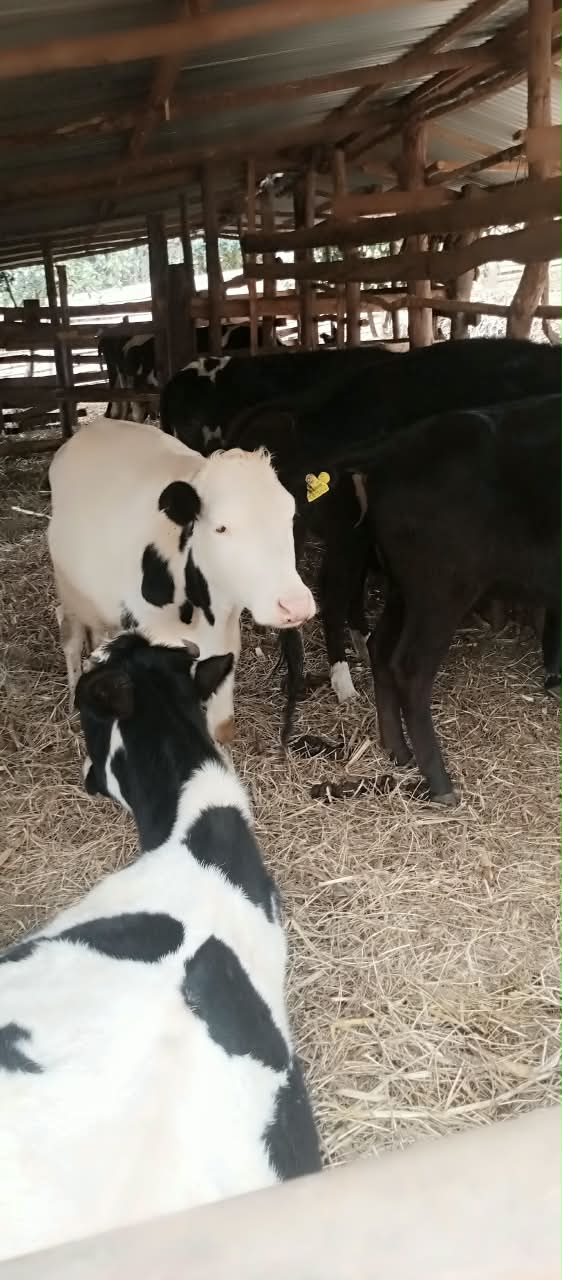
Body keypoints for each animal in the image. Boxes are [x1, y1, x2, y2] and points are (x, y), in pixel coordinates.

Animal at [47, 417, 314, 745]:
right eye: (221, 527)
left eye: (290, 516)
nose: (295, 605)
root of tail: (92, 427)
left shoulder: (226, 640)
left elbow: (222, 726)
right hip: (69, 589)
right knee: (69, 634)